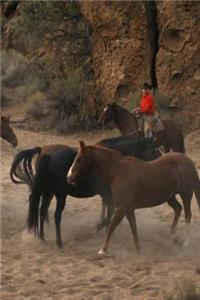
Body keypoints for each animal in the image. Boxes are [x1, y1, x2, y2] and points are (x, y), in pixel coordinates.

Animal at [10, 135, 159, 247]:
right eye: (153, 150)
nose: (159, 162)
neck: (111, 163)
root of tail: (47, 154)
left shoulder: (106, 194)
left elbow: (108, 210)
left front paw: (105, 228)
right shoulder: (106, 193)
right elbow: (109, 210)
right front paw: (100, 227)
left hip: (48, 191)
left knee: (42, 211)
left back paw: (42, 237)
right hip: (60, 195)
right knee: (56, 216)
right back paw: (59, 242)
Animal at [67, 142, 200, 254]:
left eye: (79, 159)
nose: (68, 177)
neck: (117, 172)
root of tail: (189, 161)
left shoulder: (122, 207)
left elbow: (112, 226)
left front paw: (103, 249)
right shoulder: (128, 208)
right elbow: (133, 226)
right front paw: (137, 248)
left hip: (186, 194)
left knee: (188, 215)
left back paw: (185, 242)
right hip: (170, 196)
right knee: (178, 209)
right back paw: (173, 236)